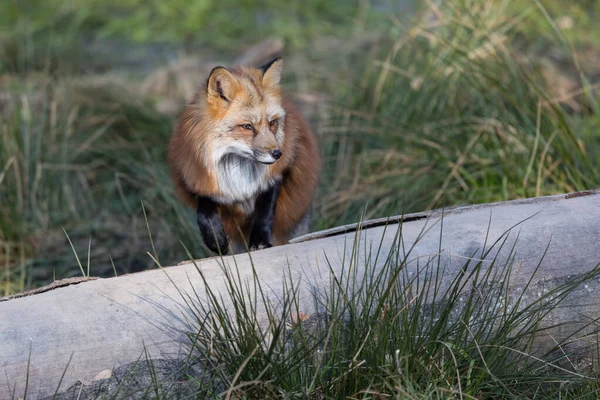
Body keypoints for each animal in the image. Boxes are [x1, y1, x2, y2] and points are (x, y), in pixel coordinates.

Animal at [166, 57, 322, 255]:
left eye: (272, 123)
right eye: (247, 126)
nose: (278, 154)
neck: (238, 171)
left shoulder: (275, 178)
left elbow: (264, 213)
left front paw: (260, 241)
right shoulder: (198, 179)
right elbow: (204, 211)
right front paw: (215, 239)